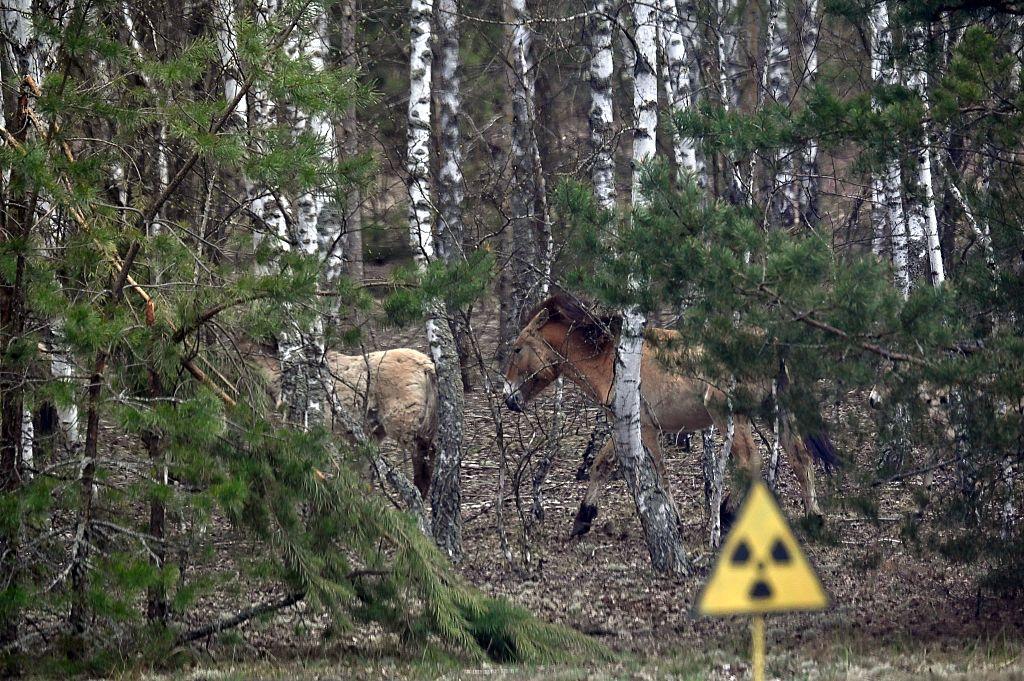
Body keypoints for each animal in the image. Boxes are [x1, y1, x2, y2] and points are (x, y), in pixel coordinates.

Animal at [502, 293, 839, 537]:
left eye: (517, 349)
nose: (508, 398)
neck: (613, 358)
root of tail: (769, 342)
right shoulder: (624, 426)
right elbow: (600, 464)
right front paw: (583, 518)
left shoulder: (646, 428)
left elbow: (659, 475)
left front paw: (674, 521)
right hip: (777, 412)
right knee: (800, 457)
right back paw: (814, 518)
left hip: (732, 417)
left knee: (749, 462)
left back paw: (727, 515)